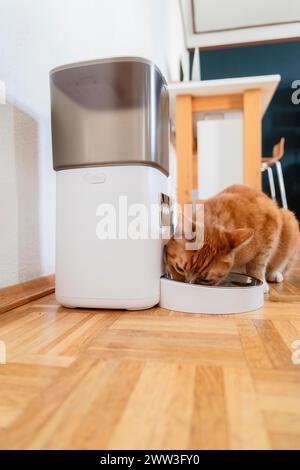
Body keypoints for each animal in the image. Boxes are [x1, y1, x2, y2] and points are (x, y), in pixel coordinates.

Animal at [165, 185, 298, 292]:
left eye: (205, 280)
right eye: (179, 268)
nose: (188, 286)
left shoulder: (270, 230)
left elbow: (258, 264)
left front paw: (260, 281)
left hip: (289, 220)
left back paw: (275, 274)